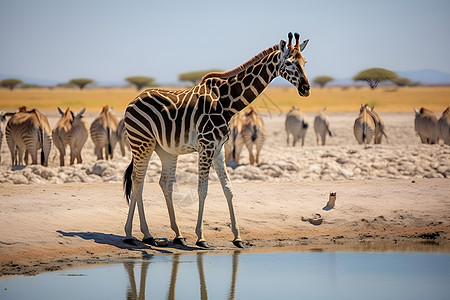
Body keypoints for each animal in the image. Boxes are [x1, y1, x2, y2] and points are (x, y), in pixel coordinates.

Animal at [123, 32, 312, 248]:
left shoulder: (219, 148)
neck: (227, 102)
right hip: (142, 142)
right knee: (137, 181)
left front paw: (238, 237)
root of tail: (133, 100)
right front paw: (201, 237)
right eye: (288, 63)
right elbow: (202, 190)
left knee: (163, 183)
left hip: (165, 149)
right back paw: (140, 234)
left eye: (305, 62)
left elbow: (228, 189)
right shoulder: (206, 146)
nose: (306, 89)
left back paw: (173, 235)